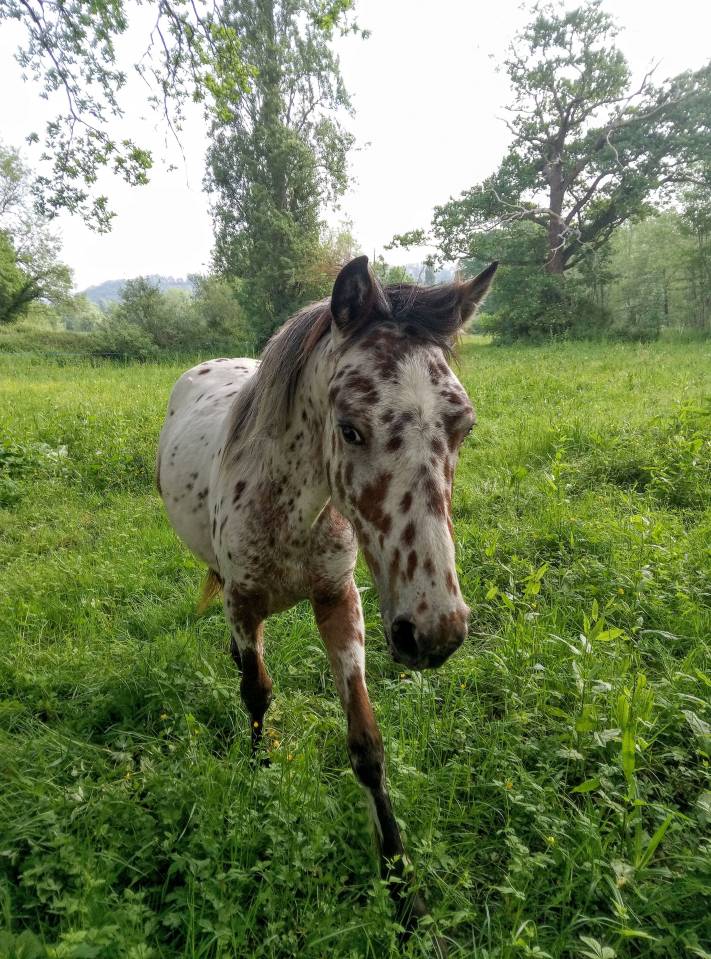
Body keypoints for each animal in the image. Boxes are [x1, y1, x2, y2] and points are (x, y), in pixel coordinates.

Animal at [157, 255, 497, 942]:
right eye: (350, 429)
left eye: (464, 426)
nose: (436, 631)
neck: (289, 504)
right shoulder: (242, 601)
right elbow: (256, 692)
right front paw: (260, 773)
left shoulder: (339, 601)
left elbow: (367, 745)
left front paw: (403, 893)